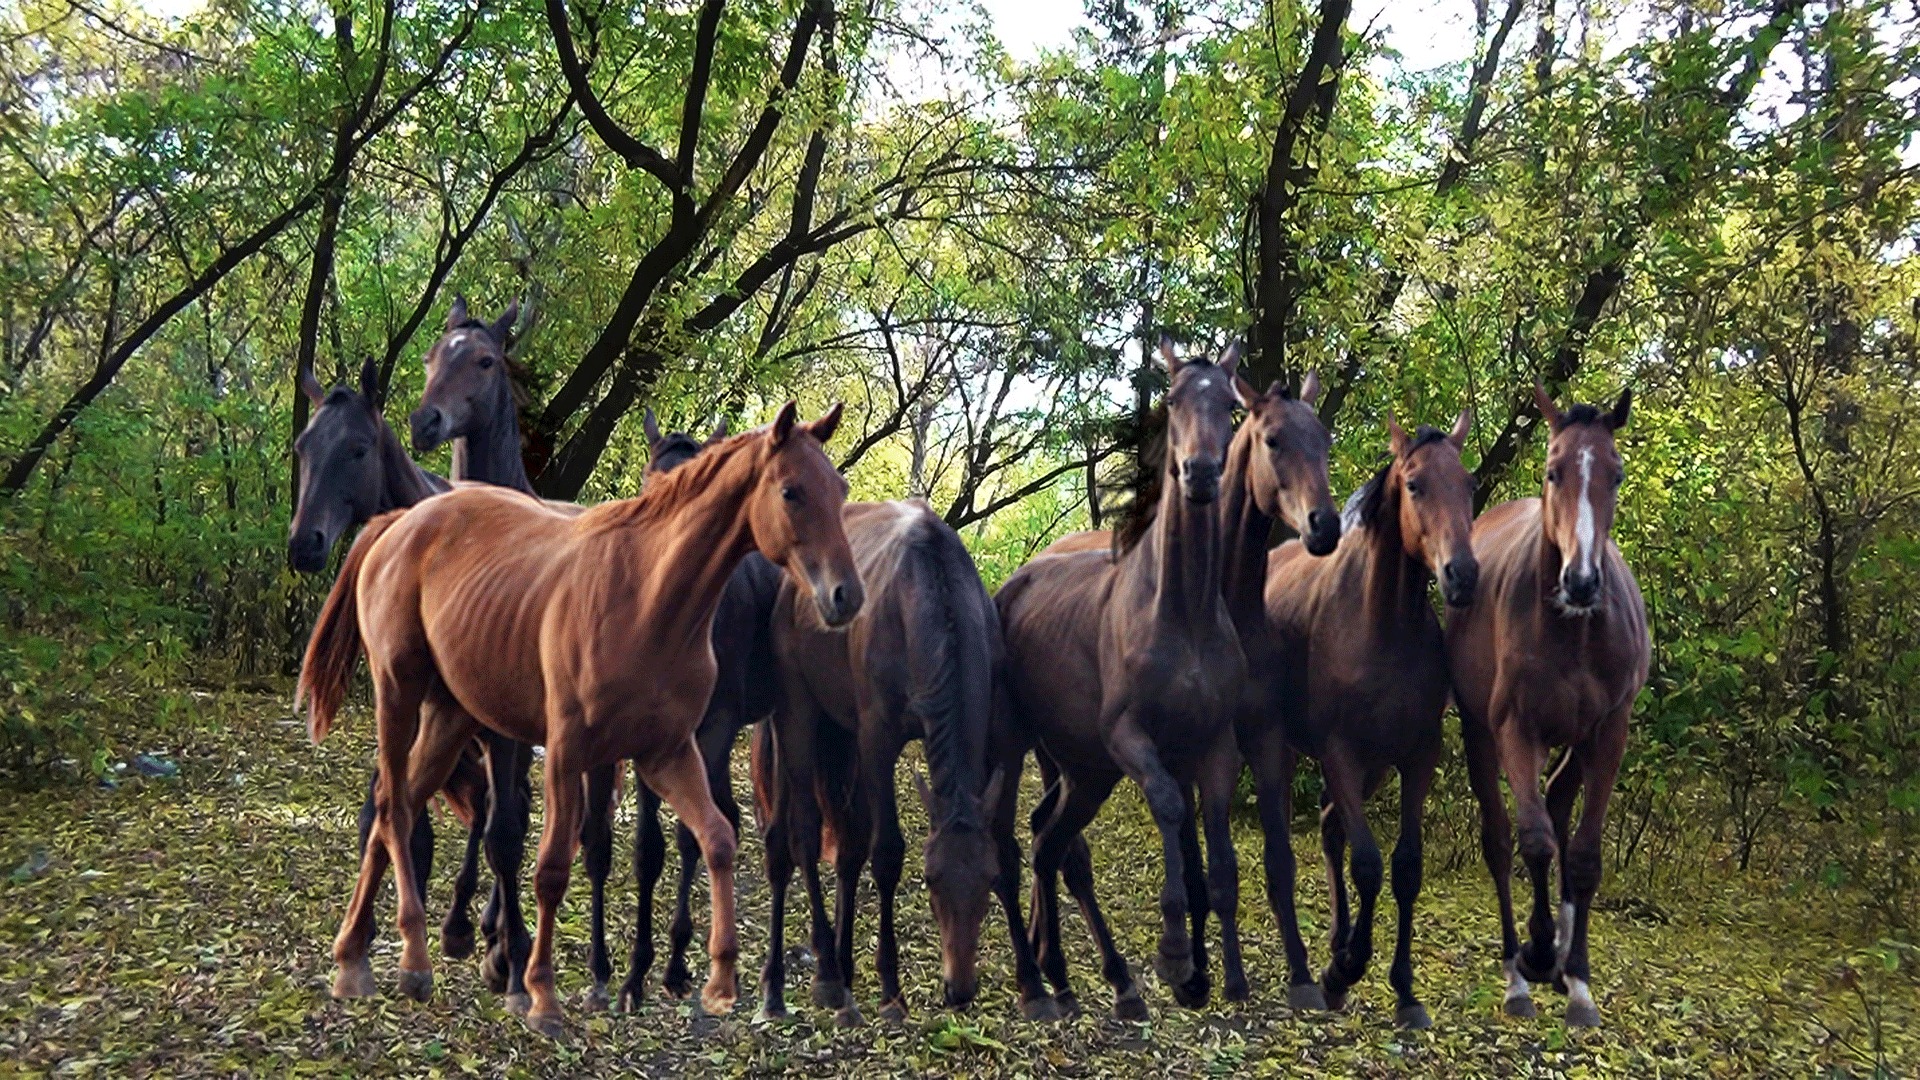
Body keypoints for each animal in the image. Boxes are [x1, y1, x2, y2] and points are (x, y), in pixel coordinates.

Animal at [301, 401, 864, 1037]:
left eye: (840, 489)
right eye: (791, 491)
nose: (845, 596)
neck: (646, 598)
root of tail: (398, 523)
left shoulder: (668, 752)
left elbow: (716, 838)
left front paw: (719, 979)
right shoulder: (568, 753)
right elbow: (551, 868)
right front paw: (541, 994)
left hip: (449, 719)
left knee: (388, 810)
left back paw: (353, 959)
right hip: (399, 694)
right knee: (395, 808)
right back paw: (413, 961)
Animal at [756, 495, 1052, 1014]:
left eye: (986, 880)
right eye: (930, 881)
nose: (959, 989)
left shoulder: (1001, 743)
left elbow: (1008, 848)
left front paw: (1033, 983)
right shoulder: (877, 741)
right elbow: (888, 853)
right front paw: (891, 986)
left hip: (841, 736)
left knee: (843, 845)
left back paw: (840, 966)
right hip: (797, 719)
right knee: (799, 837)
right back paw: (810, 977)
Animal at [998, 340, 1251, 1014]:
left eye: (1231, 405)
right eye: (1174, 399)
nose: (1200, 473)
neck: (1182, 613)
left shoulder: (1214, 746)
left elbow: (1219, 857)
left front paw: (1225, 978)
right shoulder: (1129, 737)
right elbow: (1168, 807)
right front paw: (1175, 955)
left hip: (1085, 770)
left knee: (1050, 846)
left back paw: (1078, 977)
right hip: (1023, 752)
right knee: (1012, 848)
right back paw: (1038, 981)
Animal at [1259, 407, 1482, 1022]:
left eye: (1470, 485)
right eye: (1415, 485)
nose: (1462, 575)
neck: (1381, 627)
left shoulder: (1415, 758)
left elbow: (1406, 868)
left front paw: (1403, 988)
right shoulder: (1339, 752)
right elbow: (1369, 863)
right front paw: (1345, 970)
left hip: (1372, 768)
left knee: (1329, 828)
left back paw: (1336, 942)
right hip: (1280, 748)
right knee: (1285, 844)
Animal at [1451, 382, 1651, 1022]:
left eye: (1616, 473)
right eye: (1552, 470)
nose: (1582, 581)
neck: (1575, 629)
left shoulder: (1609, 731)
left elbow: (1582, 854)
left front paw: (1577, 975)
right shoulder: (1515, 728)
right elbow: (1534, 839)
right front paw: (1536, 953)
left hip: (1579, 741)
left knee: (1562, 805)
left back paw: (1564, 960)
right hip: (1479, 731)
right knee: (1500, 837)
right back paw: (1521, 969)